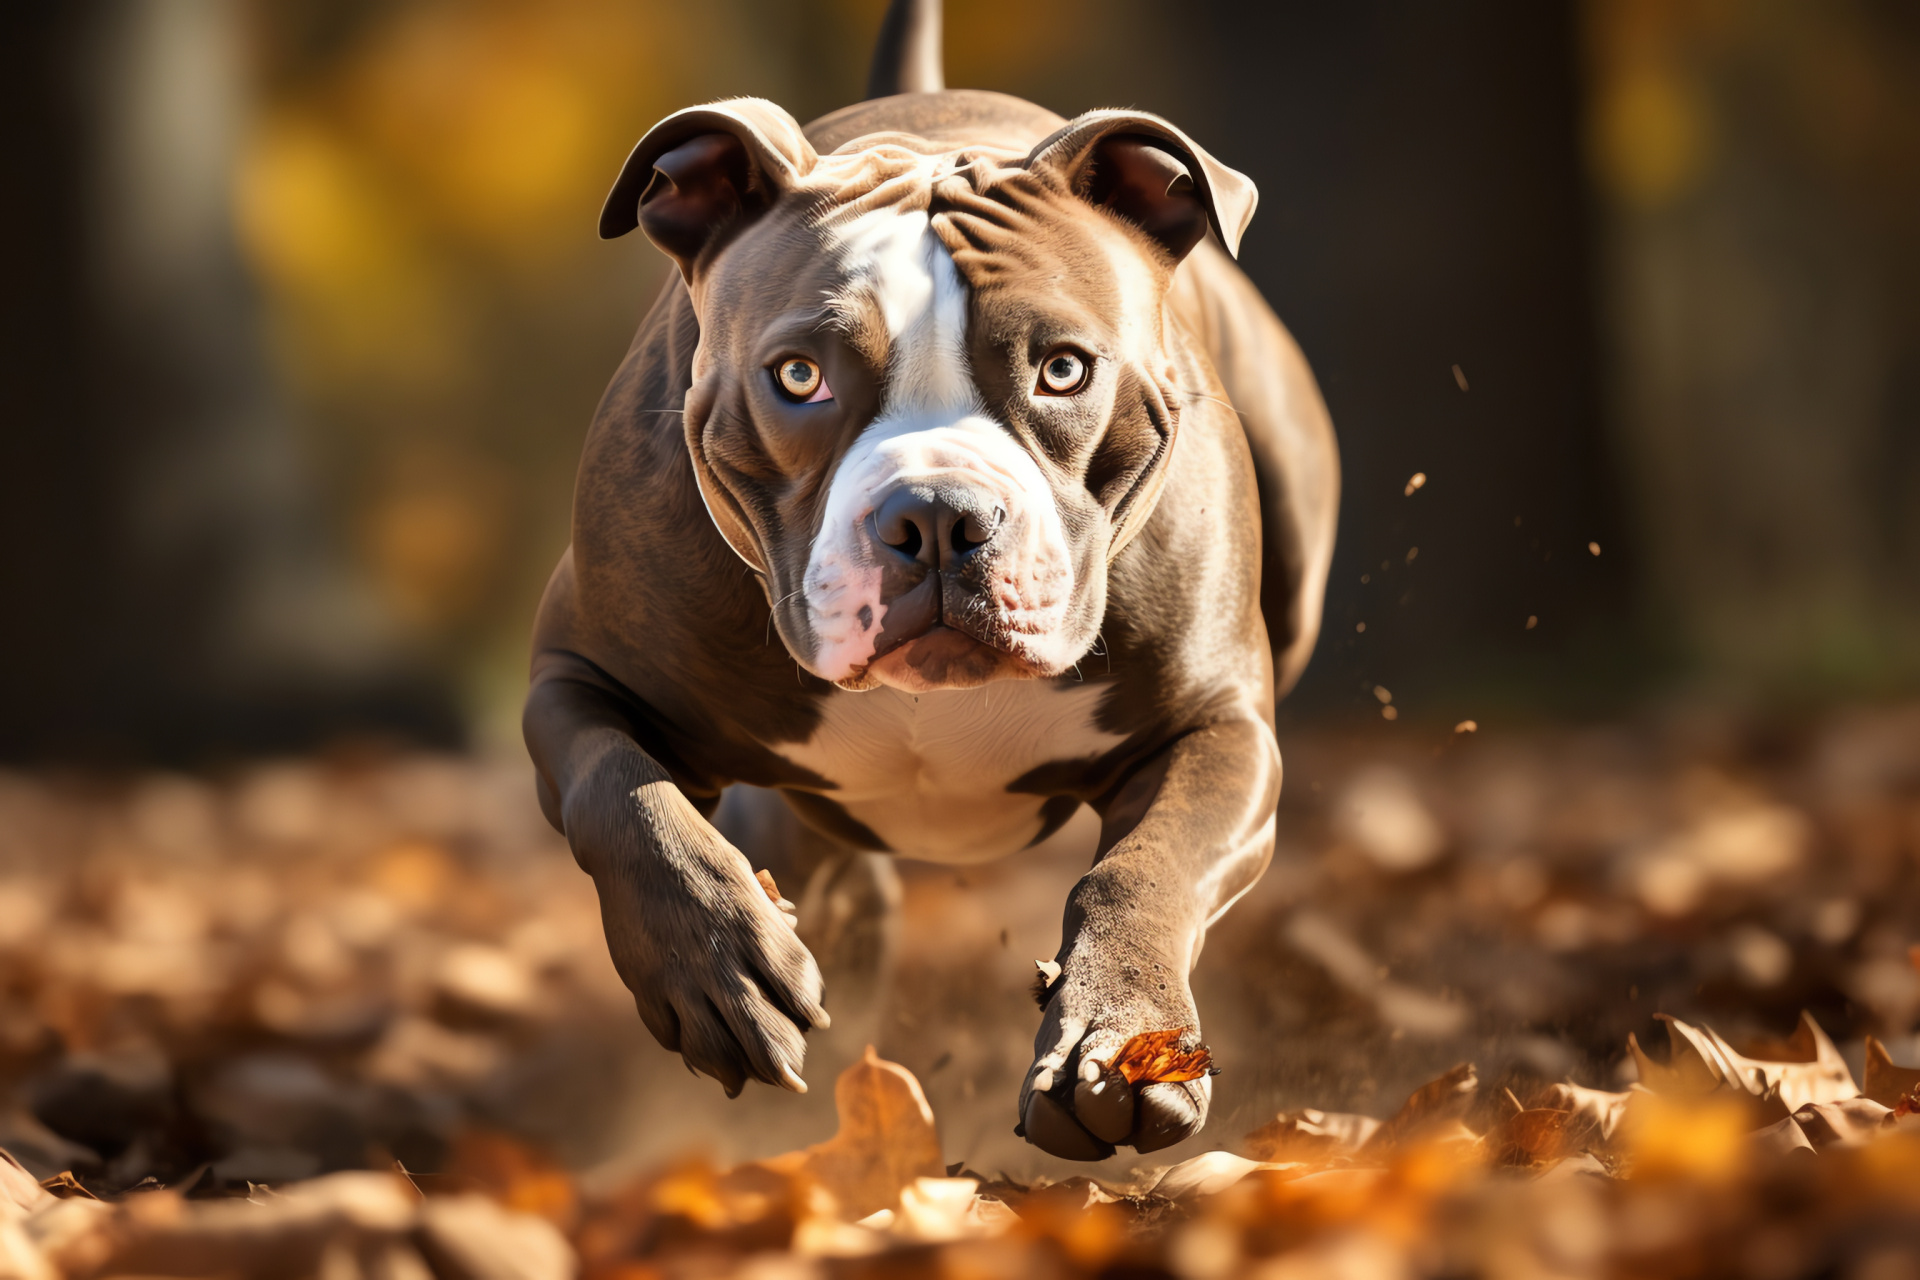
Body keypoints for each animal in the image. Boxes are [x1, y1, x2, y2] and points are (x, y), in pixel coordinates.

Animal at [526, 0, 1336, 1159]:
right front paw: (720, 965)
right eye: (799, 376)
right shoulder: (576, 672)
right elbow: (624, 797)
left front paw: (1114, 1038)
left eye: (1063, 369)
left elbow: (1145, 868)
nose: (939, 515)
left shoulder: (1221, 730)